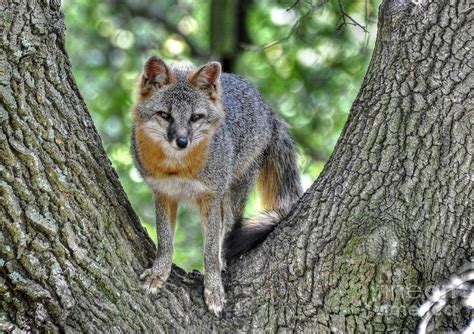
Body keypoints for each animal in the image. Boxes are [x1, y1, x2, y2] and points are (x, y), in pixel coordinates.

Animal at [131, 56, 300, 316]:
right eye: (165, 115)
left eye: (195, 117)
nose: (182, 141)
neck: (177, 166)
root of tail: (266, 108)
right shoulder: (163, 194)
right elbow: (165, 241)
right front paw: (160, 273)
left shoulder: (210, 197)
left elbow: (210, 251)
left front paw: (213, 290)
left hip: (233, 192)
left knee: (229, 228)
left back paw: (223, 263)